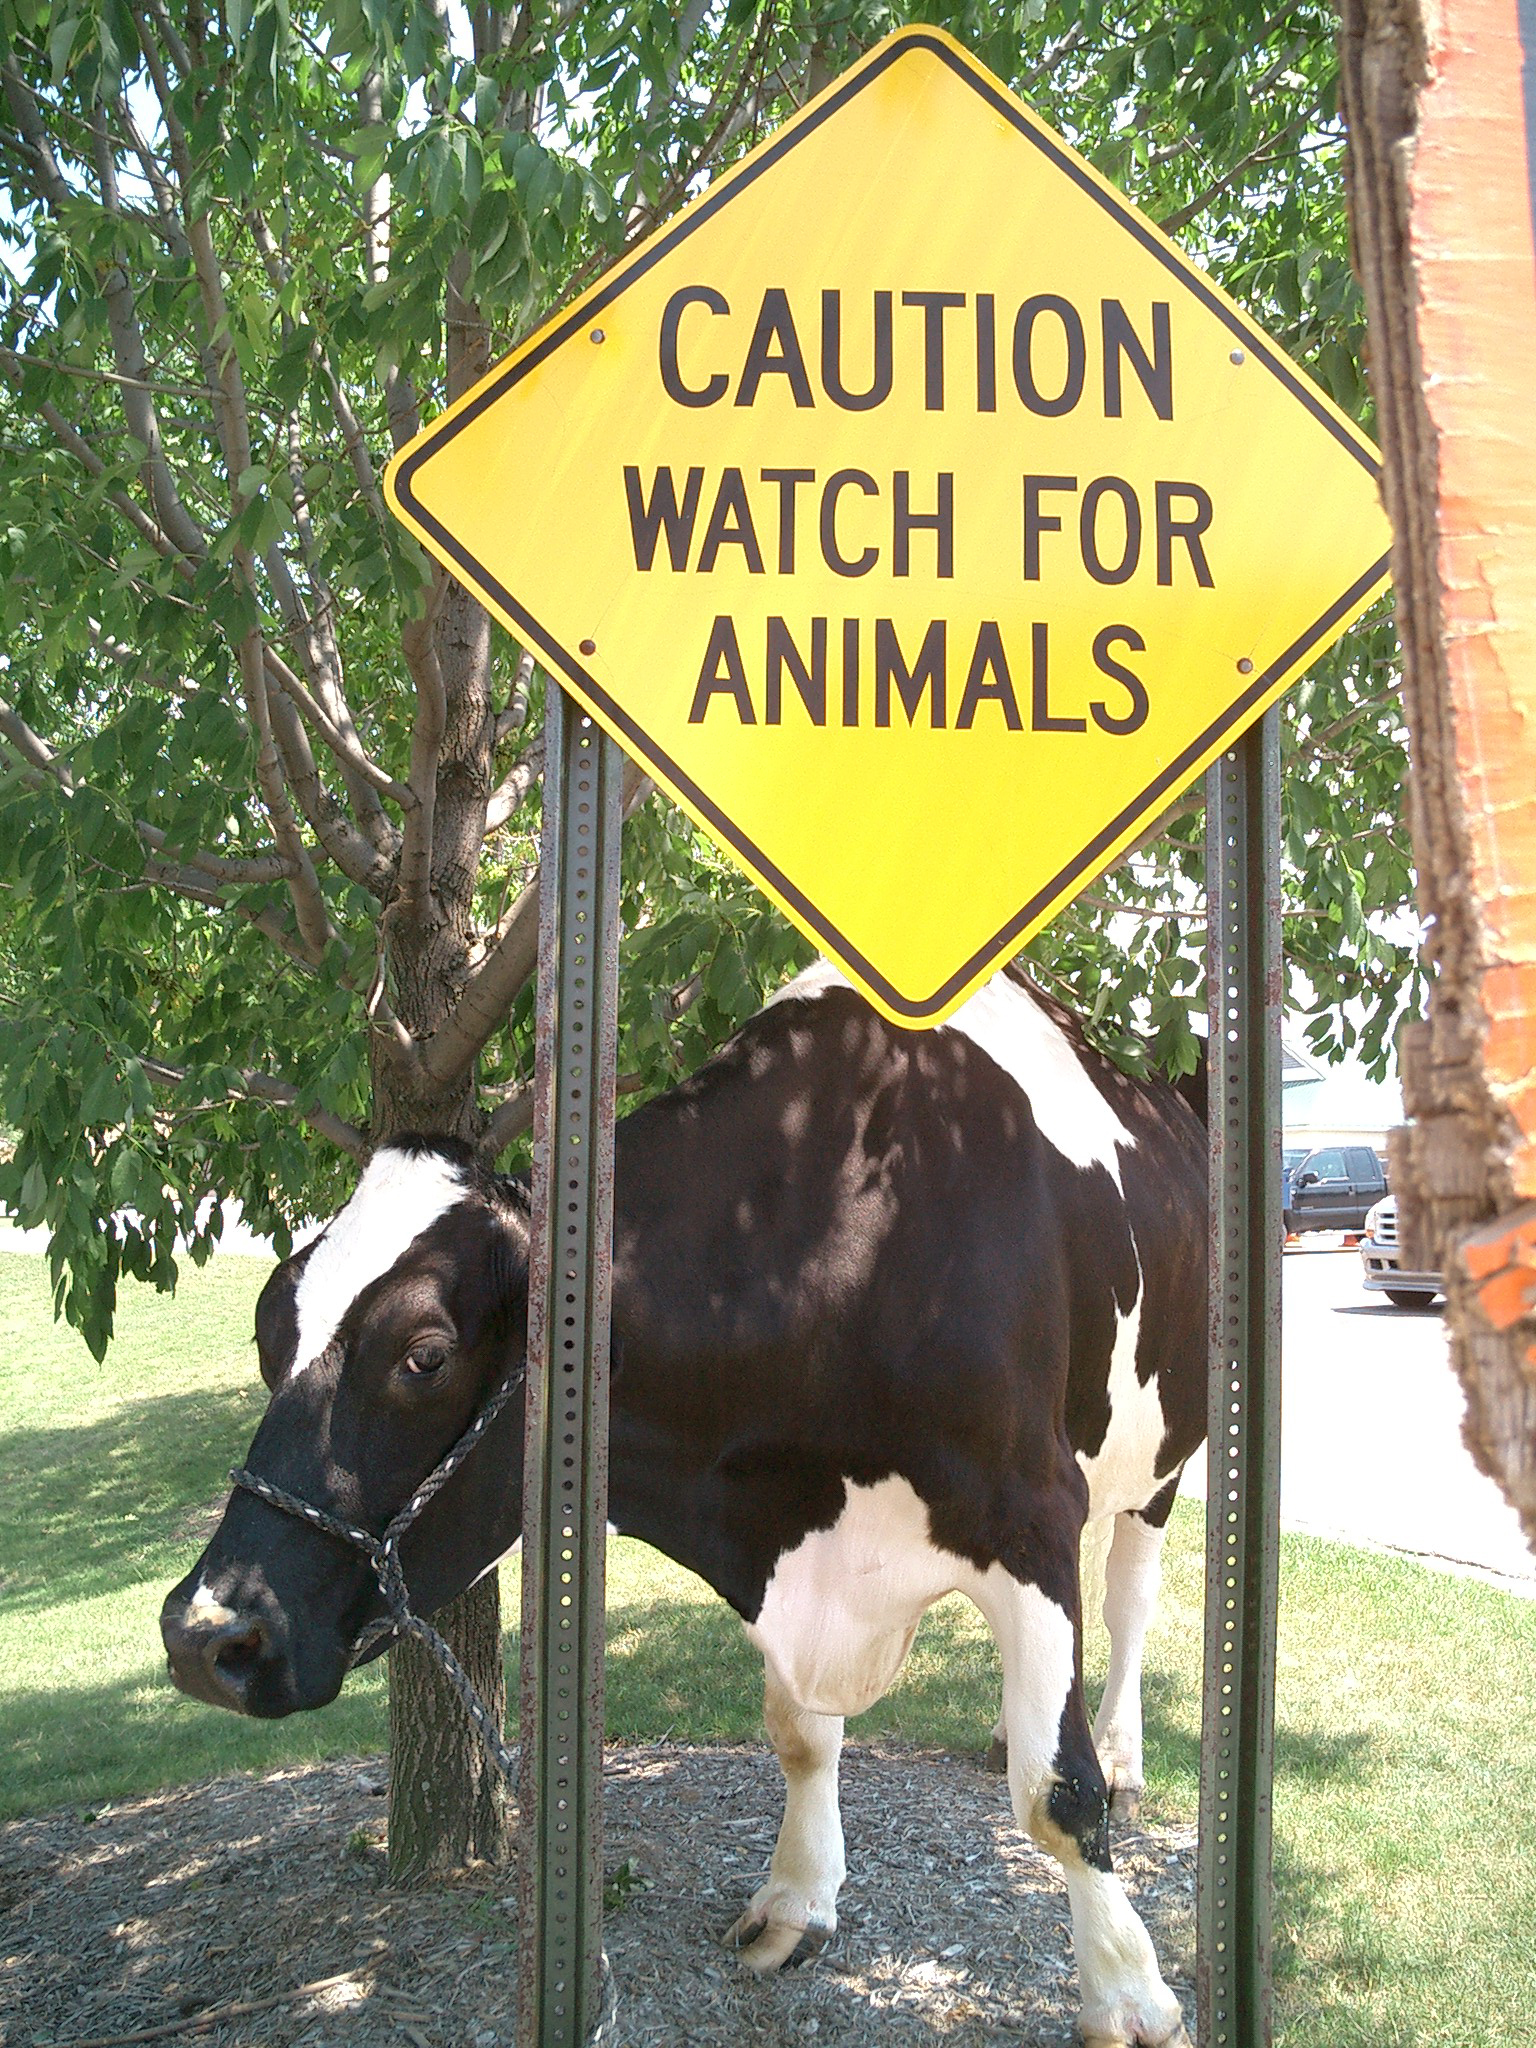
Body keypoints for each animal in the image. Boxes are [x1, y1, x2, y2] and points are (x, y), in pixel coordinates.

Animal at [161, 959, 1205, 2048]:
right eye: (268, 1326)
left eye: (425, 1353)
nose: (204, 1636)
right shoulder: (779, 1535)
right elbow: (800, 1735)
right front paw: (794, 1901)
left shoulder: (1031, 1512)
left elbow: (1060, 1792)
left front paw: (1128, 1992)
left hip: (1167, 1446)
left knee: (1128, 1596)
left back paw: (1125, 1752)